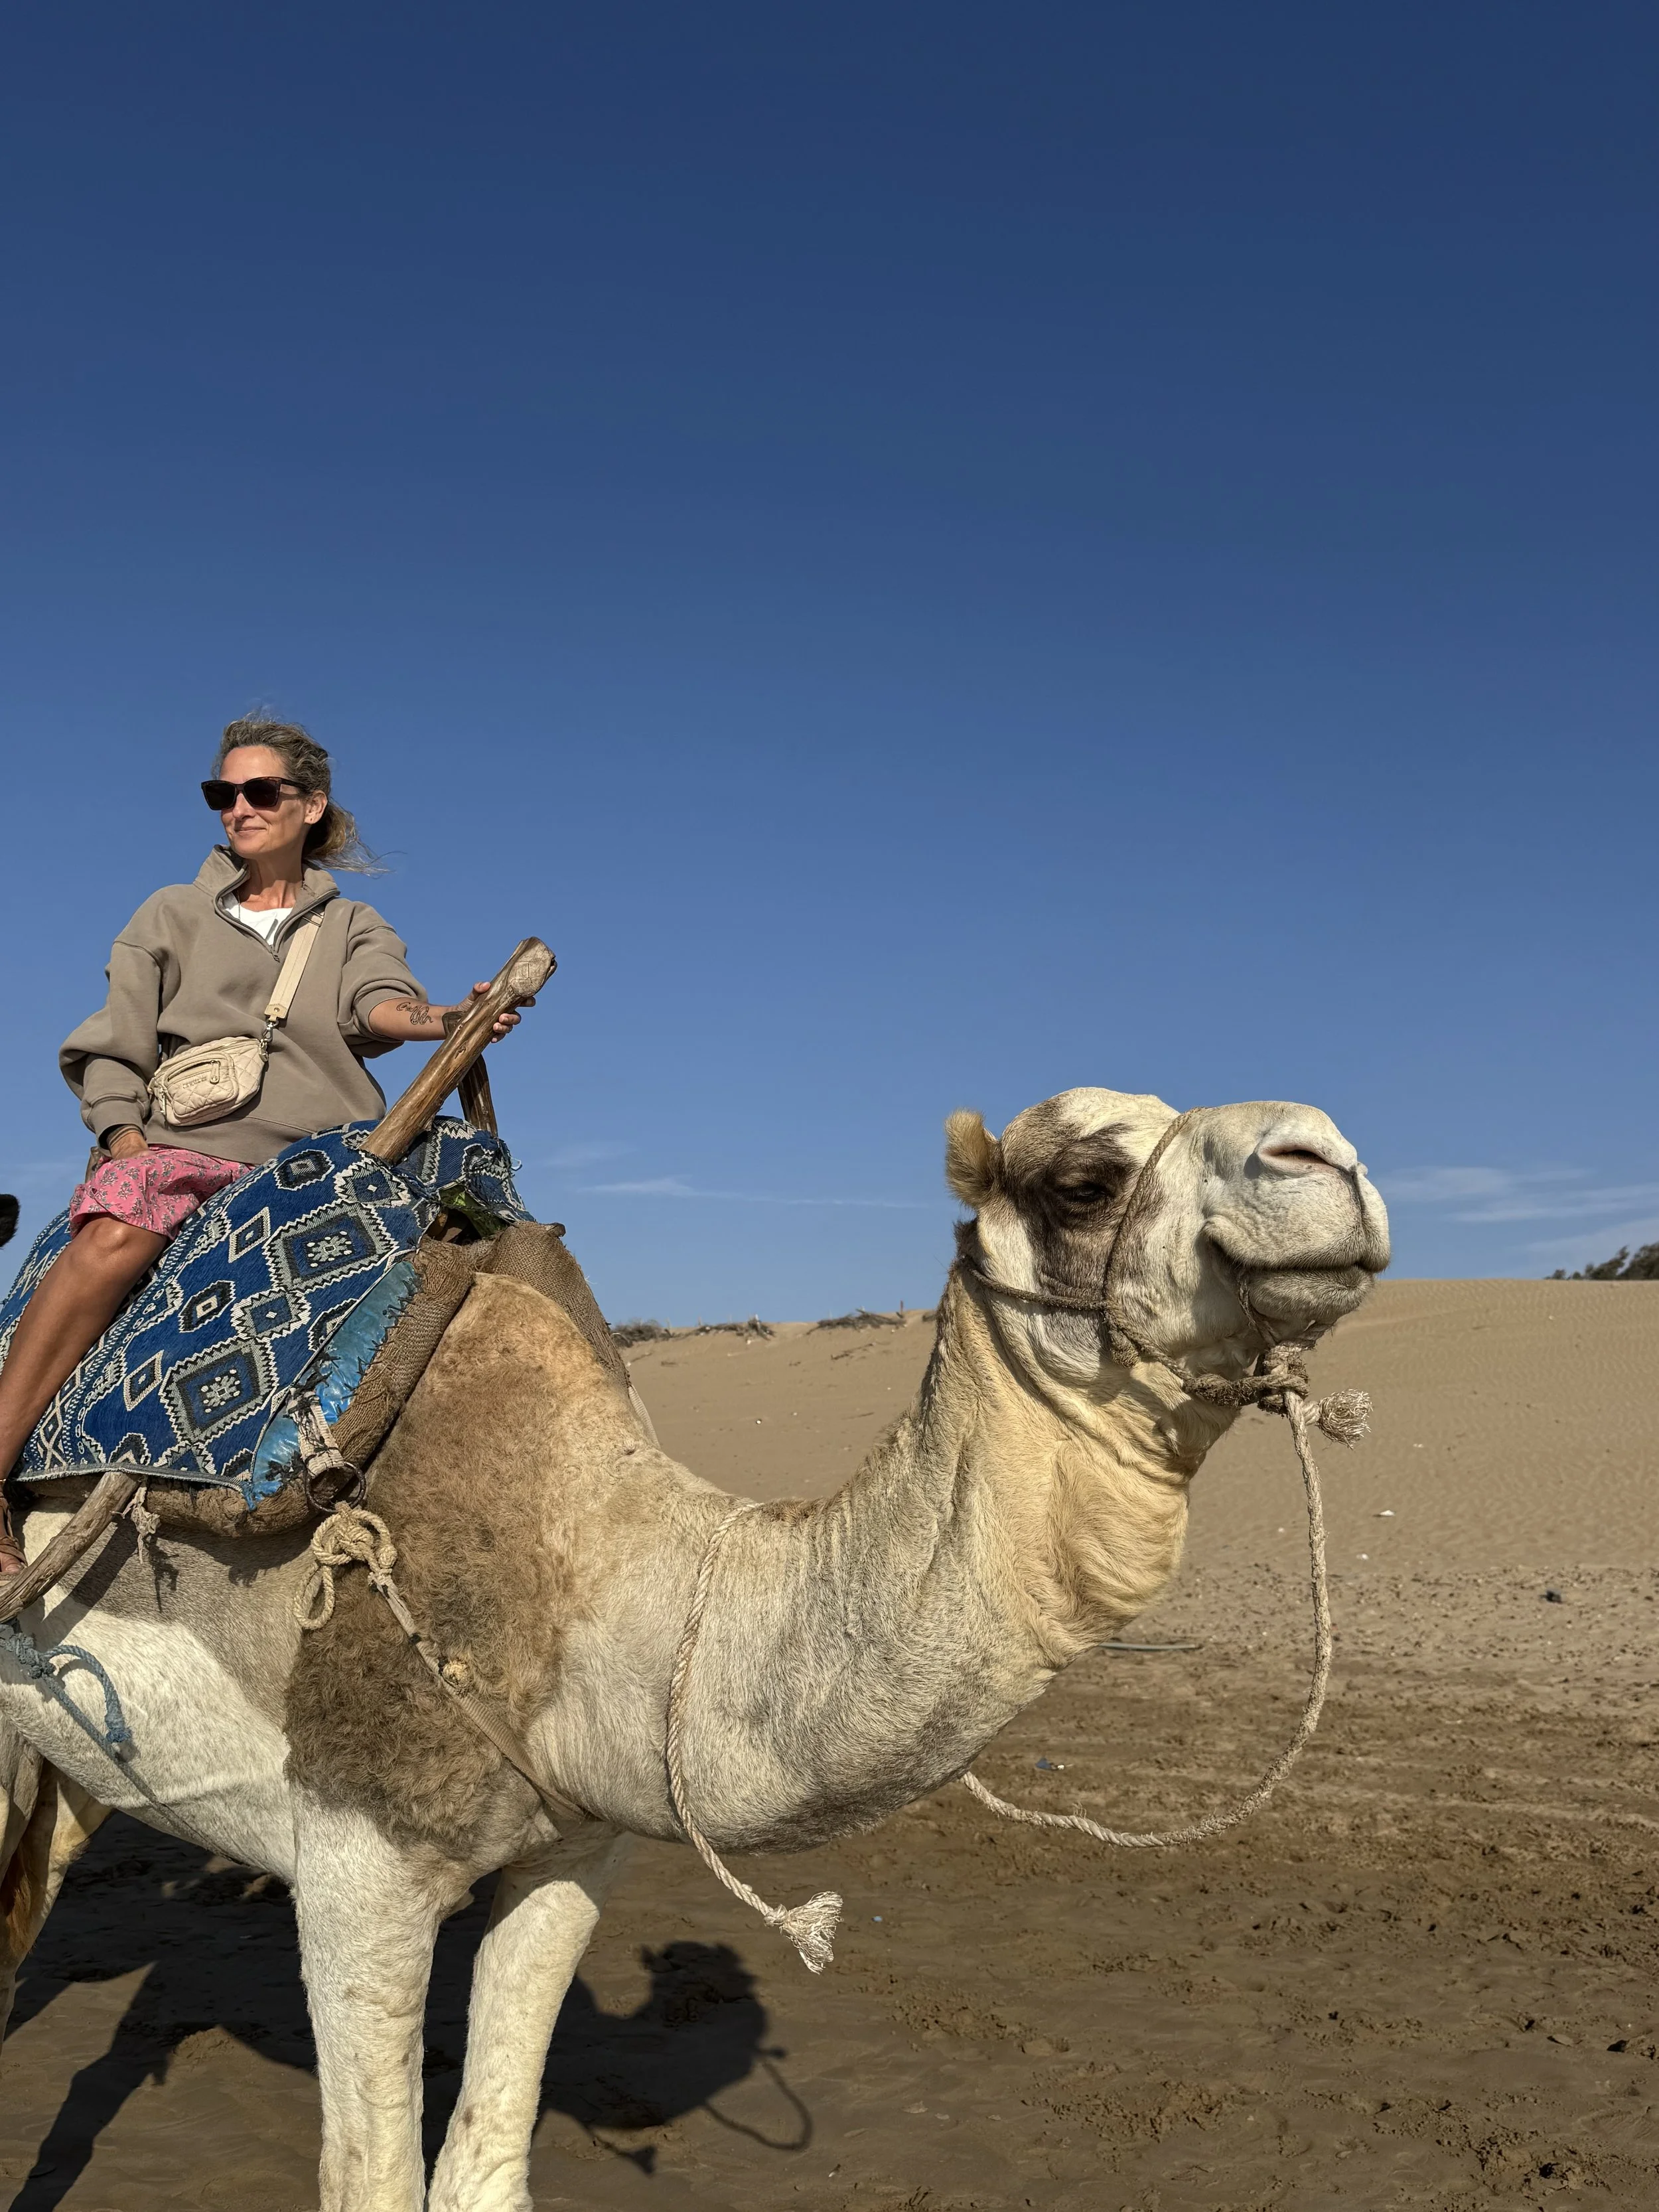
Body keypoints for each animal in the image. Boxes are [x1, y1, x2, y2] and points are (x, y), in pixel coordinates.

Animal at [0, 1087, 1388, 2211]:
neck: (596, 1566)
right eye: (1085, 1180)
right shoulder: (358, 1856)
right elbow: (376, 2178)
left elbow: (486, 2160)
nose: (1328, 1156)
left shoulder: (574, 1846)